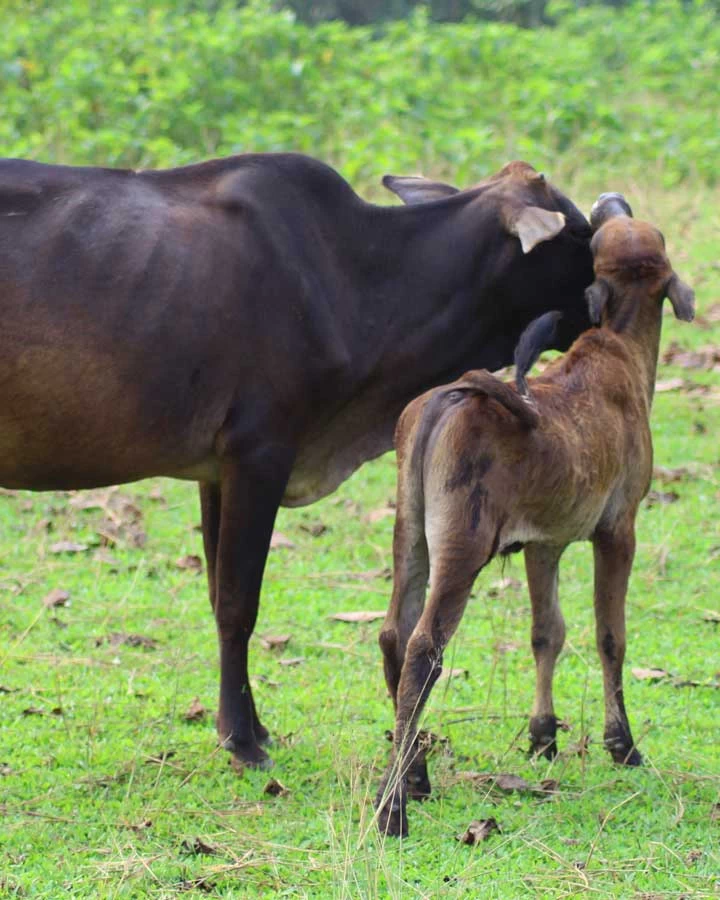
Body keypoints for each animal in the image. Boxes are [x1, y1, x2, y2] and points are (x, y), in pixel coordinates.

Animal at [0, 153, 592, 768]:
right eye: (576, 231)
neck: (361, 278)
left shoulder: (216, 470)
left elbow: (217, 593)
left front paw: (251, 727)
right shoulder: (260, 452)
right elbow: (239, 604)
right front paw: (240, 739)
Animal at [374, 195, 696, 836]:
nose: (608, 201)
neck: (619, 351)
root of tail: (450, 398)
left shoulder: (544, 543)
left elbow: (547, 632)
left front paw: (543, 737)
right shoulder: (618, 529)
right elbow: (610, 636)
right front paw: (622, 744)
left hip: (411, 534)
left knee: (395, 634)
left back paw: (416, 773)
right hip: (462, 545)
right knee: (424, 650)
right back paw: (395, 806)